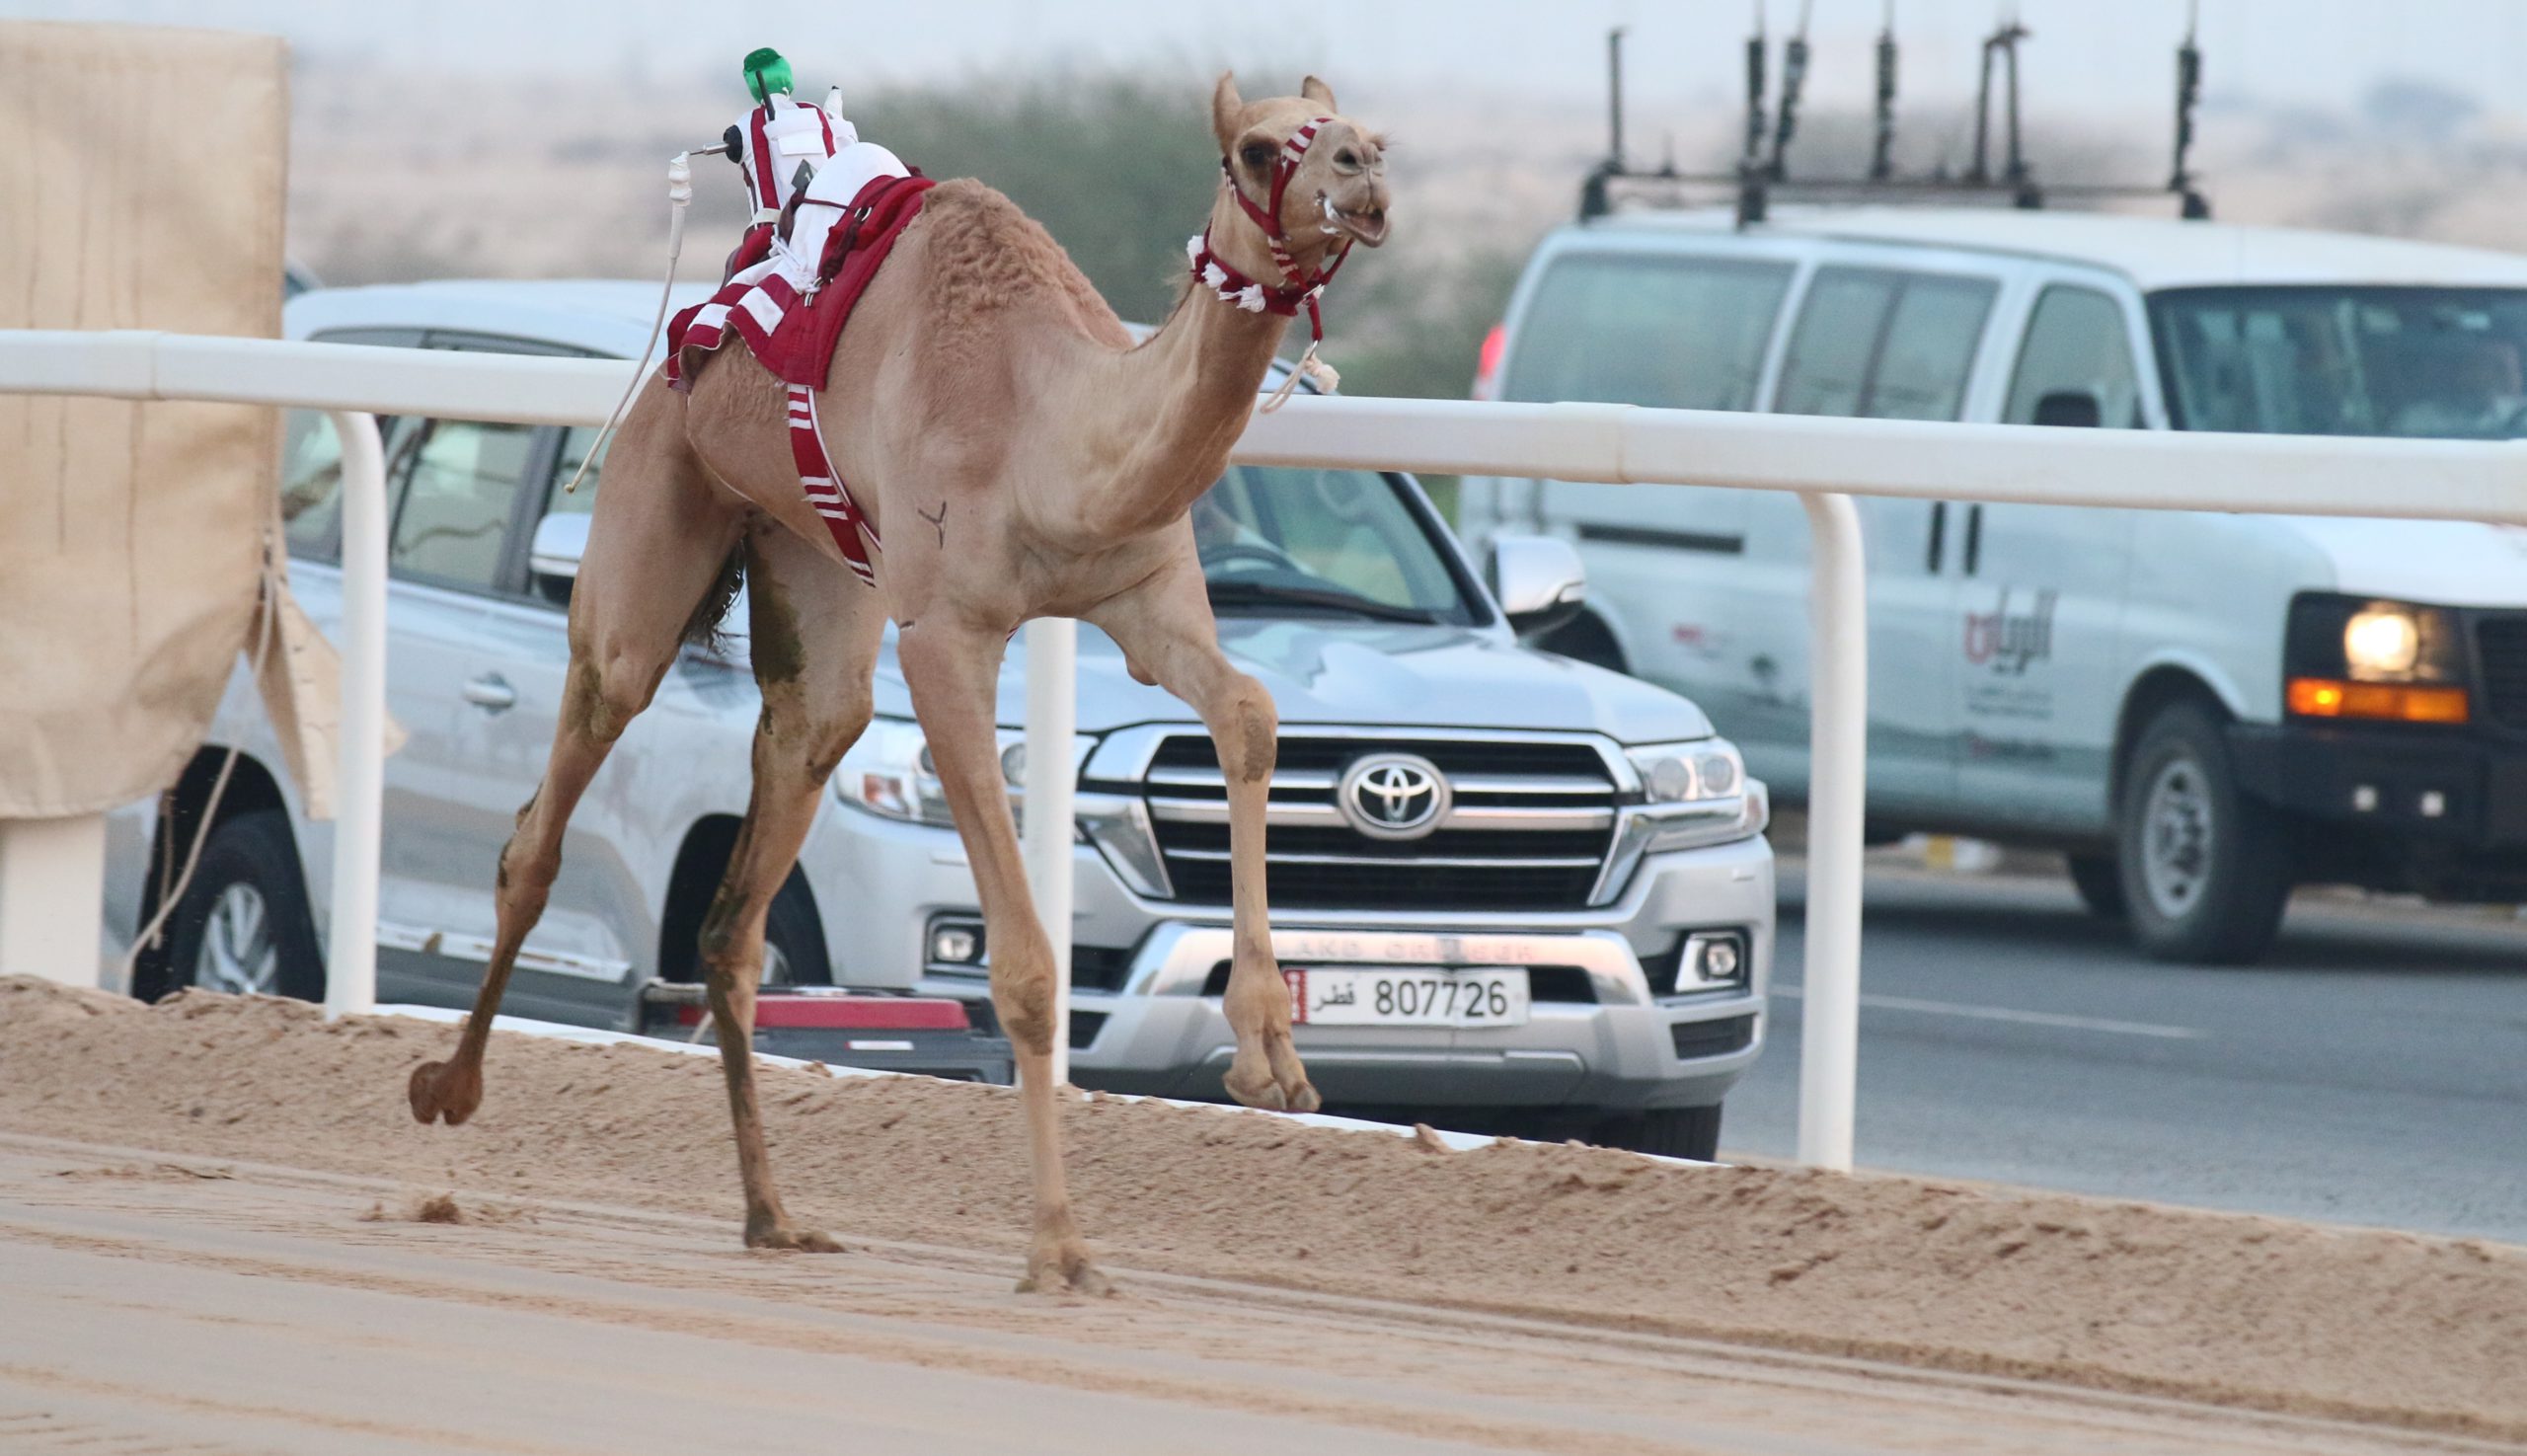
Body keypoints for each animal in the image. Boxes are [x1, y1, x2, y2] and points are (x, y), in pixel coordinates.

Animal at [404, 73, 1395, 1288]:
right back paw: (447, 1090)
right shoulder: (944, 634)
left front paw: (1270, 1062)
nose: (1361, 175)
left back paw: (773, 1214)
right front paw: (1058, 1244)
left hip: (815, 578)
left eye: (1367, 132)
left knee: (749, 881)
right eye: (1254, 150)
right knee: (552, 804)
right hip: (653, 511)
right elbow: (1024, 964)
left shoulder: (1144, 596)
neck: (1052, 428)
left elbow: (1248, 713)